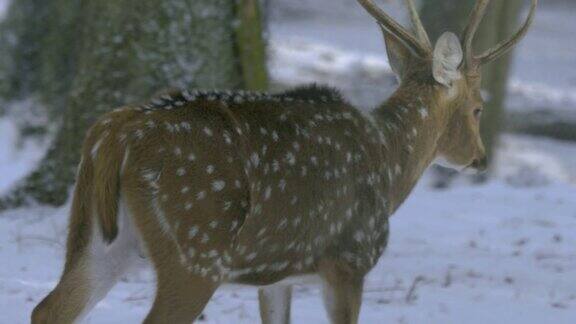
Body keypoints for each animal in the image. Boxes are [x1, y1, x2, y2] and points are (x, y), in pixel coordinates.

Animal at [31, 0, 536, 322]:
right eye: (478, 107)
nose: (480, 159)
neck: (390, 166)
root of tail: (114, 134)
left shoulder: (277, 275)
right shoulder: (349, 258)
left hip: (98, 239)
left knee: (48, 309)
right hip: (196, 248)